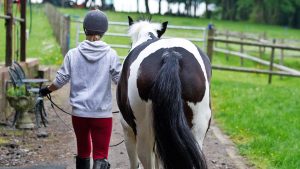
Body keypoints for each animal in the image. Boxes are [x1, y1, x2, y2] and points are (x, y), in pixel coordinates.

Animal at [116, 16, 212, 169]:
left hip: (144, 132)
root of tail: (171, 55)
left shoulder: (127, 129)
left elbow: (135, 162)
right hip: (197, 128)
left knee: (146, 159)